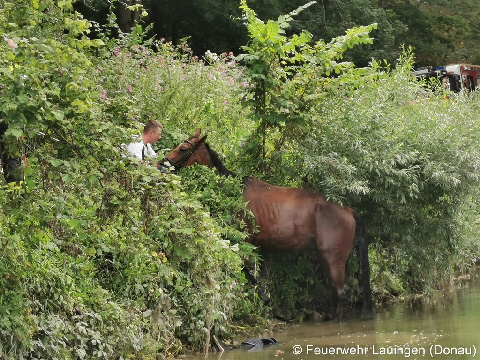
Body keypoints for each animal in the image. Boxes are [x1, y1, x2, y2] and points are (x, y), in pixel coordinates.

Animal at [161, 128, 376, 322]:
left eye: (182, 148)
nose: (162, 164)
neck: (235, 191)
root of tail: (347, 210)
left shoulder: (245, 240)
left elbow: (246, 269)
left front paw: (264, 298)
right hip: (326, 257)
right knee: (334, 288)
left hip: (334, 258)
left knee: (342, 291)